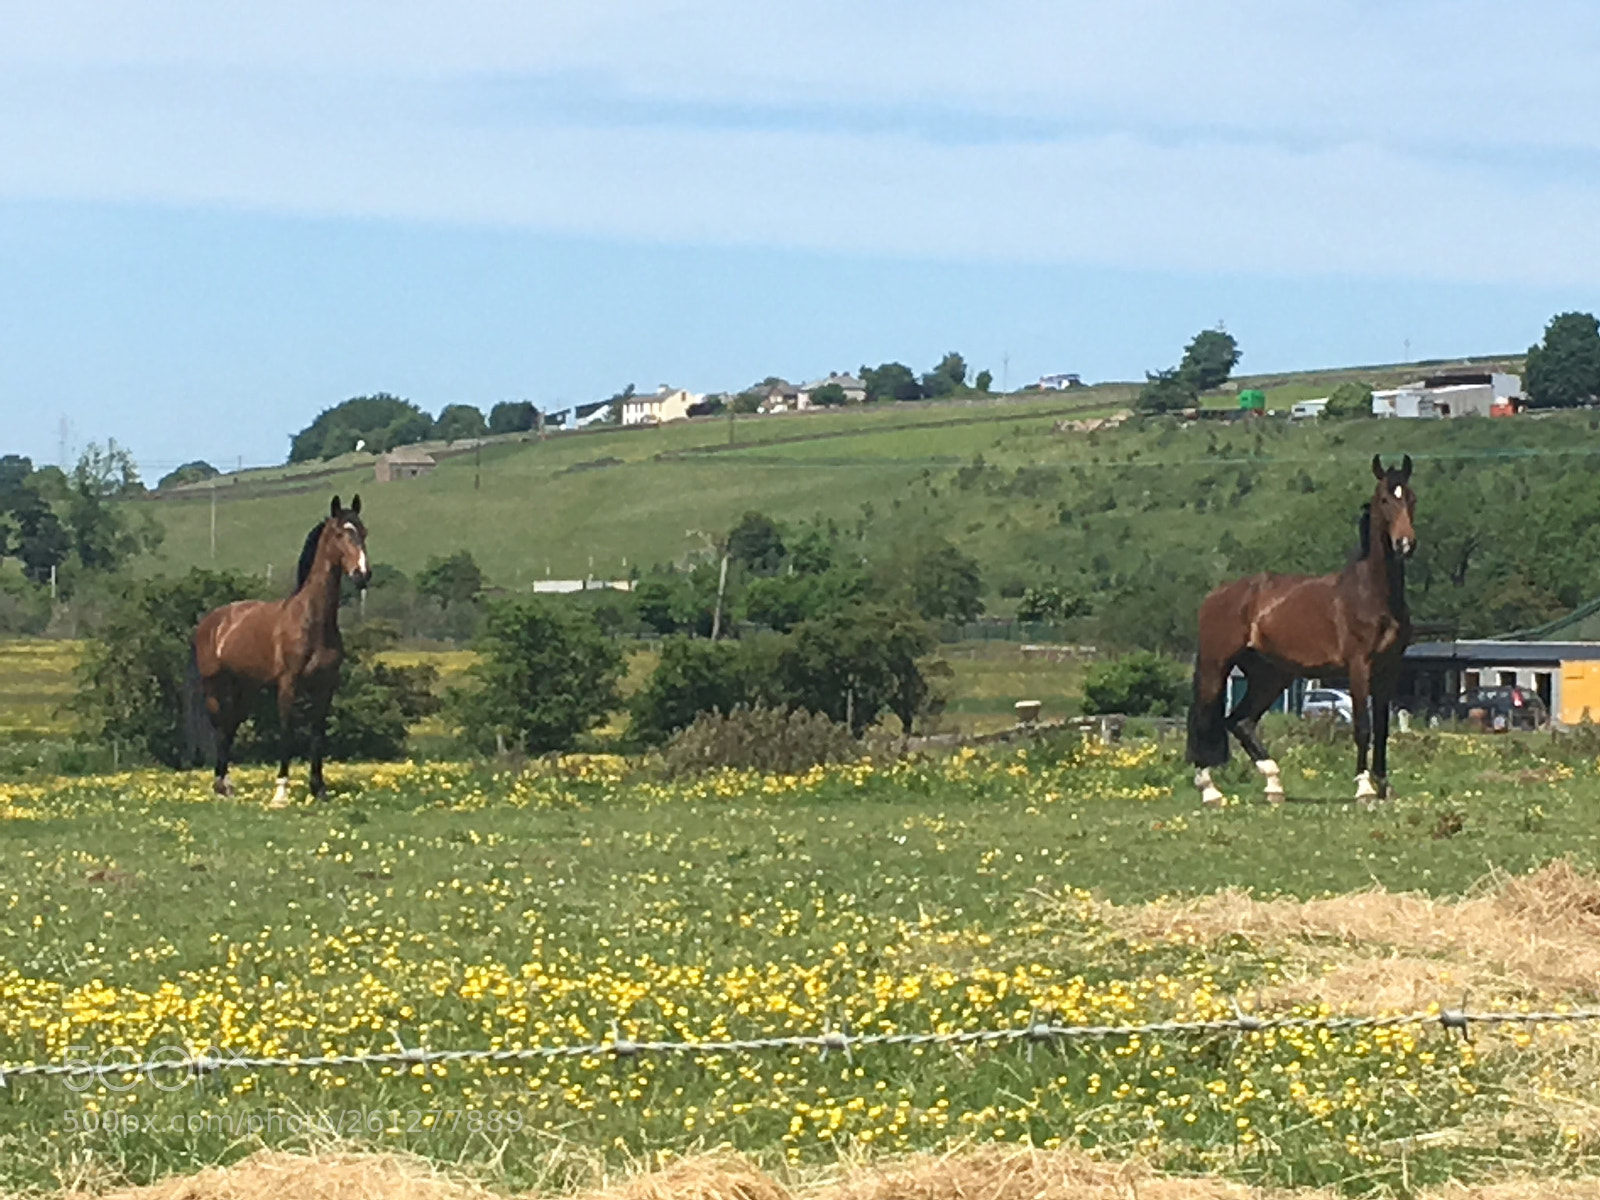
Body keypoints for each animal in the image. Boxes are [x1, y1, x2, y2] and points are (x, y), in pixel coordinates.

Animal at [187, 495, 370, 806]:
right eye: (339, 534)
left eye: (364, 532)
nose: (362, 575)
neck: (311, 621)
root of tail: (212, 621)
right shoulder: (288, 685)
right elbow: (287, 733)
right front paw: (281, 792)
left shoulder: (325, 687)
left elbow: (317, 734)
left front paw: (318, 789)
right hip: (214, 688)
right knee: (219, 729)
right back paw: (220, 785)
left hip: (245, 690)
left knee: (229, 728)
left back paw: (227, 786)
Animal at [1187, 455, 1416, 806]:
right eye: (1384, 500)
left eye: (1412, 498)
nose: (1405, 543)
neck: (1371, 594)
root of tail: (1215, 595)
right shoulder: (1359, 666)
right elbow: (1363, 726)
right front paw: (1364, 788)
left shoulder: (1389, 669)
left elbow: (1382, 728)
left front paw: (1384, 785)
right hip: (1217, 666)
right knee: (1204, 719)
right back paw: (1210, 790)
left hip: (1270, 675)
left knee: (1240, 721)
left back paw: (1274, 785)